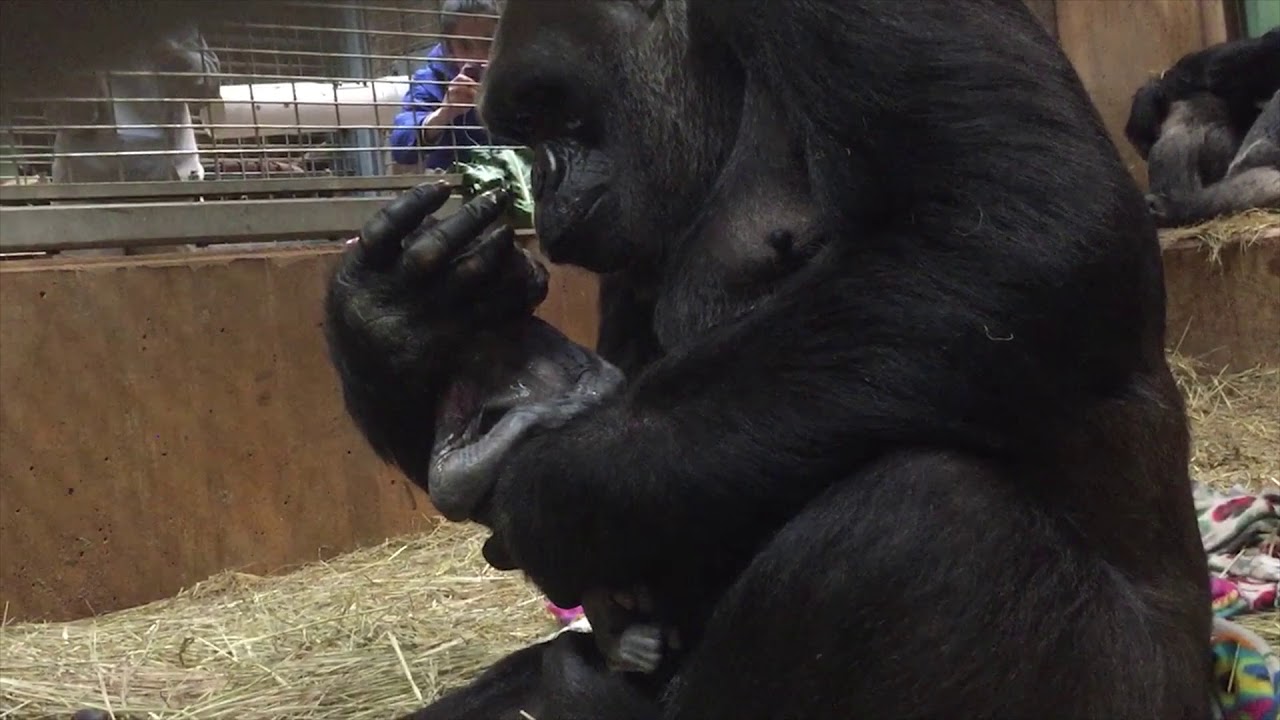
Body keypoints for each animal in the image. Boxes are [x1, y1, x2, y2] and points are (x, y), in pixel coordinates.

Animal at [325, 1, 1213, 717]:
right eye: (526, 129)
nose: (542, 176)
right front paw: (401, 321)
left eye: (558, 113)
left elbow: (1027, 229)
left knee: (919, 527)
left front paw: (551, 488)